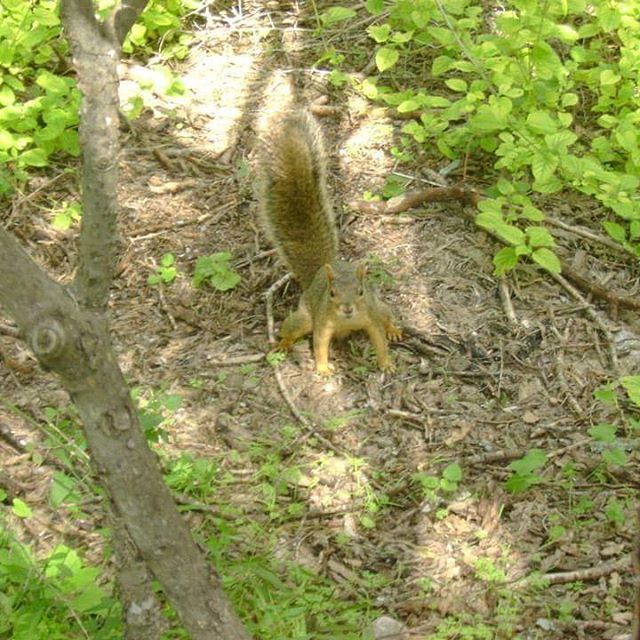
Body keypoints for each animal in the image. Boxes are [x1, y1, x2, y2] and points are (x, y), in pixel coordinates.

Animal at [256, 107, 400, 372]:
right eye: (332, 293)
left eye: (361, 291)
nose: (347, 308)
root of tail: (317, 275)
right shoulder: (323, 321)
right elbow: (320, 344)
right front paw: (323, 369)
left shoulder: (371, 315)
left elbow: (379, 339)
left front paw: (386, 363)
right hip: (303, 316)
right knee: (292, 328)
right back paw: (283, 343)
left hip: (381, 306)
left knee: (387, 316)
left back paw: (394, 329)